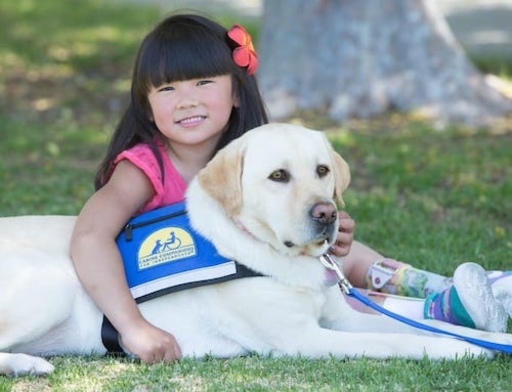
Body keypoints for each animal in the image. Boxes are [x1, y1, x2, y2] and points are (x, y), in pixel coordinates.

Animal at [1, 124, 512, 376]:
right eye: (278, 176)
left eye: (323, 170)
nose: (327, 214)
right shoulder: (304, 339)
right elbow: (394, 340)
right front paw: (457, 349)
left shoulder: (339, 315)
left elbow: (413, 322)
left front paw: (483, 334)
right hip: (51, 284)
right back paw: (28, 365)